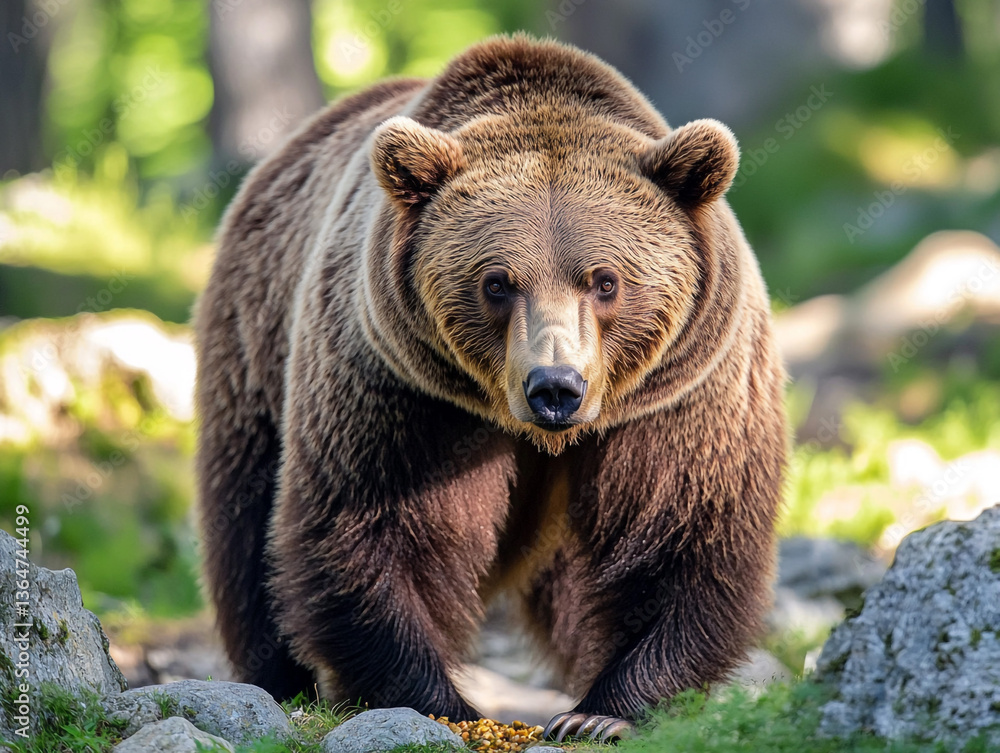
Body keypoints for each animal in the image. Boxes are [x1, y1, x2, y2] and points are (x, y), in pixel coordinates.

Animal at [194, 35, 786, 743]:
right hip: (256, 339)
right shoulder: (405, 390)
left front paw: (598, 714)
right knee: (246, 518)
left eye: (605, 280)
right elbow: (370, 524)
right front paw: (444, 706)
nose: (555, 386)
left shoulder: (679, 395)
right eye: (497, 282)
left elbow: (683, 533)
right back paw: (278, 680)